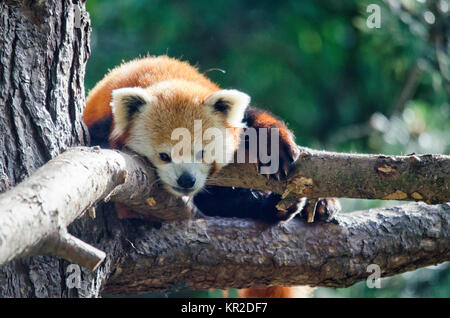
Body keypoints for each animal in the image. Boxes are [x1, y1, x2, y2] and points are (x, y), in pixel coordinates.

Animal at [82, 55, 340, 298]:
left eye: (202, 153)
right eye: (164, 156)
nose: (186, 180)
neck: (162, 78)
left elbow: (255, 120)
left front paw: (274, 148)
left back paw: (319, 205)